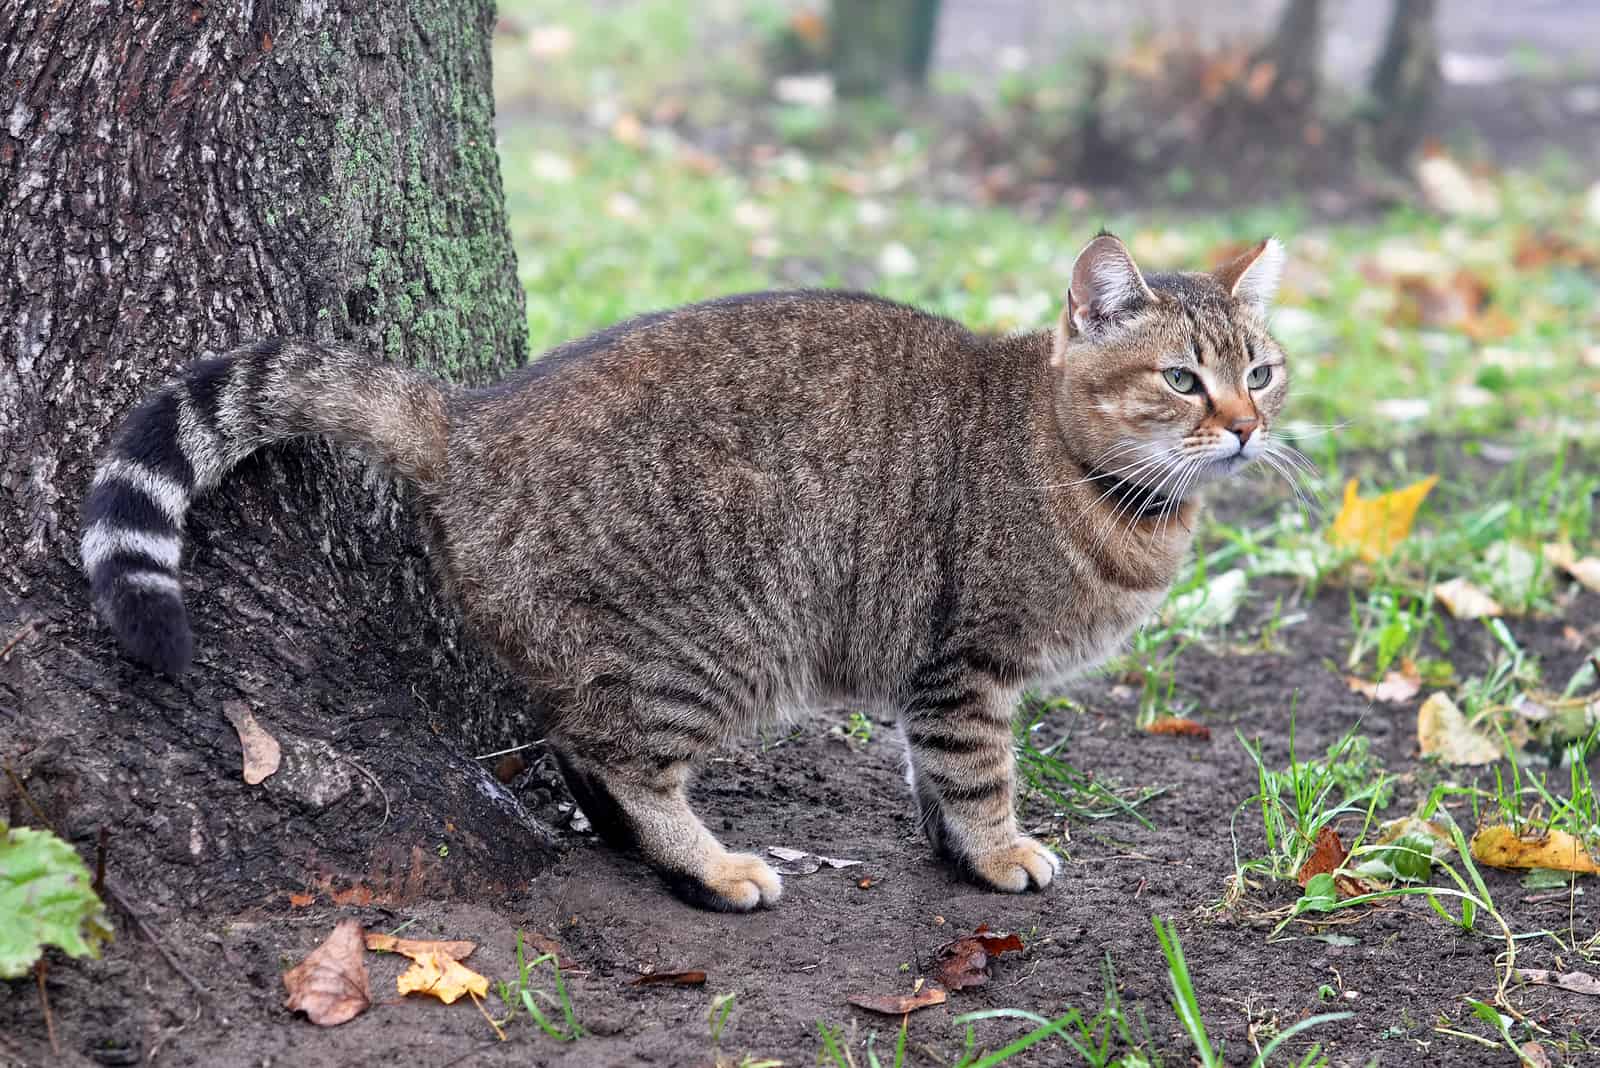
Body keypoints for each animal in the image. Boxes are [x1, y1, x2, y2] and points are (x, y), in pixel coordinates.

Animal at [81, 231, 1292, 908]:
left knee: (578, 743)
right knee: (624, 760)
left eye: (1264, 372)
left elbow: (928, 772)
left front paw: (953, 849)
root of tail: (465, 419)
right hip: (706, 648)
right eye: (1182, 379)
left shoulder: (933, 674)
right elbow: (976, 770)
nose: (1242, 427)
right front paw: (994, 853)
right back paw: (709, 867)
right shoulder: (968, 662)